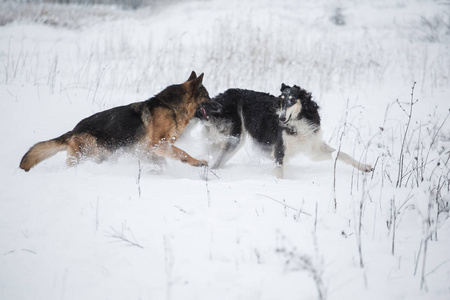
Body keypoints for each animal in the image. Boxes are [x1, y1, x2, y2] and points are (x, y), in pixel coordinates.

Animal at [19, 71, 211, 171]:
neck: (170, 107)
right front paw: (197, 162)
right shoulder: (158, 144)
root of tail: (74, 130)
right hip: (89, 155)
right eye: (208, 97)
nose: (217, 105)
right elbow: (182, 153)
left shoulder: (150, 150)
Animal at [195, 84, 370, 177]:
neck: (297, 120)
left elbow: (342, 154)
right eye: (281, 101)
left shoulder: (313, 147)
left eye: (292, 100)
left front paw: (365, 167)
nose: (281, 118)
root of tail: (218, 98)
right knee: (215, 163)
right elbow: (279, 171)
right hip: (235, 139)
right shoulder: (280, 149)